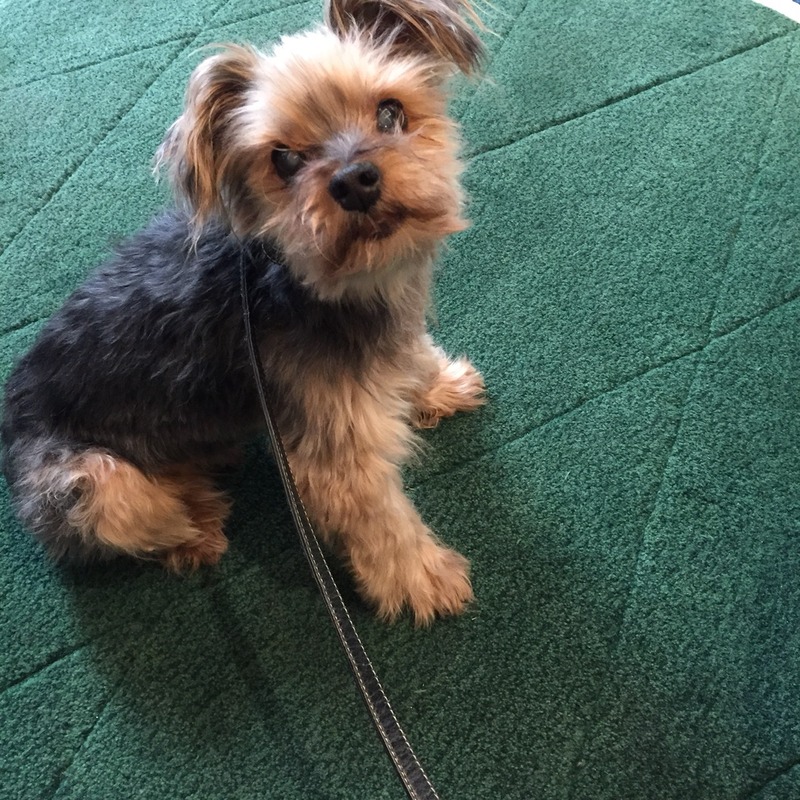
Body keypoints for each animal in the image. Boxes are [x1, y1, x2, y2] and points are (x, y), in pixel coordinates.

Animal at [1, 0, 486, 624]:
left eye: (390, 112)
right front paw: (422, 581)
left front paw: (437, 384)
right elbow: (381, 523)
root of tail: (8, 420)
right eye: (284, 160)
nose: (353, 180)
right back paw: (195, 526)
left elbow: (415, 353)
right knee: (134, 515)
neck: (321, 284)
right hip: (92, 484)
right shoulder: (336, 449)